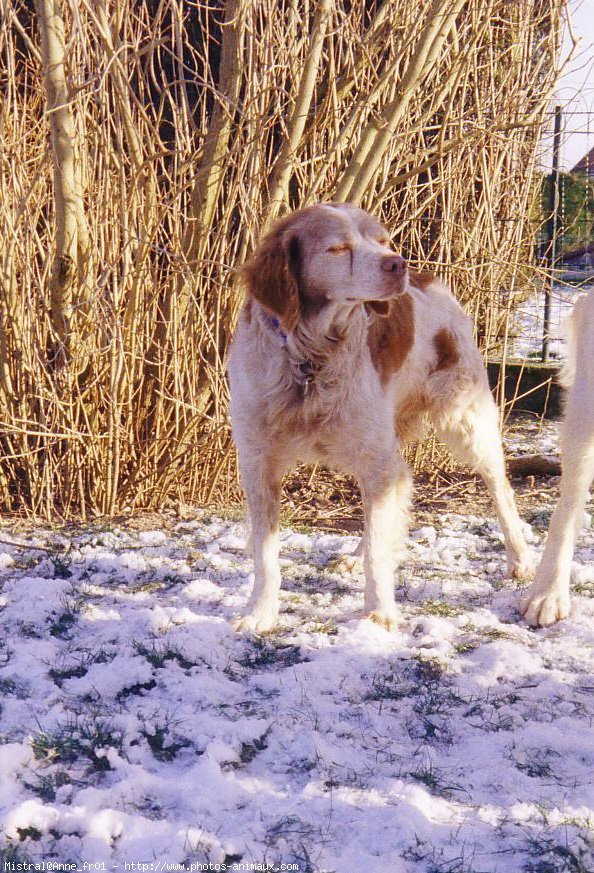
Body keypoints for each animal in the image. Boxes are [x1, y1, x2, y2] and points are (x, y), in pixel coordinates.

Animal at [228, 201, 532, 632]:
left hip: (465, 421)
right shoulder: (259, 463)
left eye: (384, 240)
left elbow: (378, 549)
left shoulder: (375, 457)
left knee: (501, 489)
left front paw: (379, 613)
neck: (309, 359)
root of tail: (429, 277)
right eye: (338, 248)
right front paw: (259, 613)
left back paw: (520, 559)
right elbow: (265, 555)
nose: (397, 263)